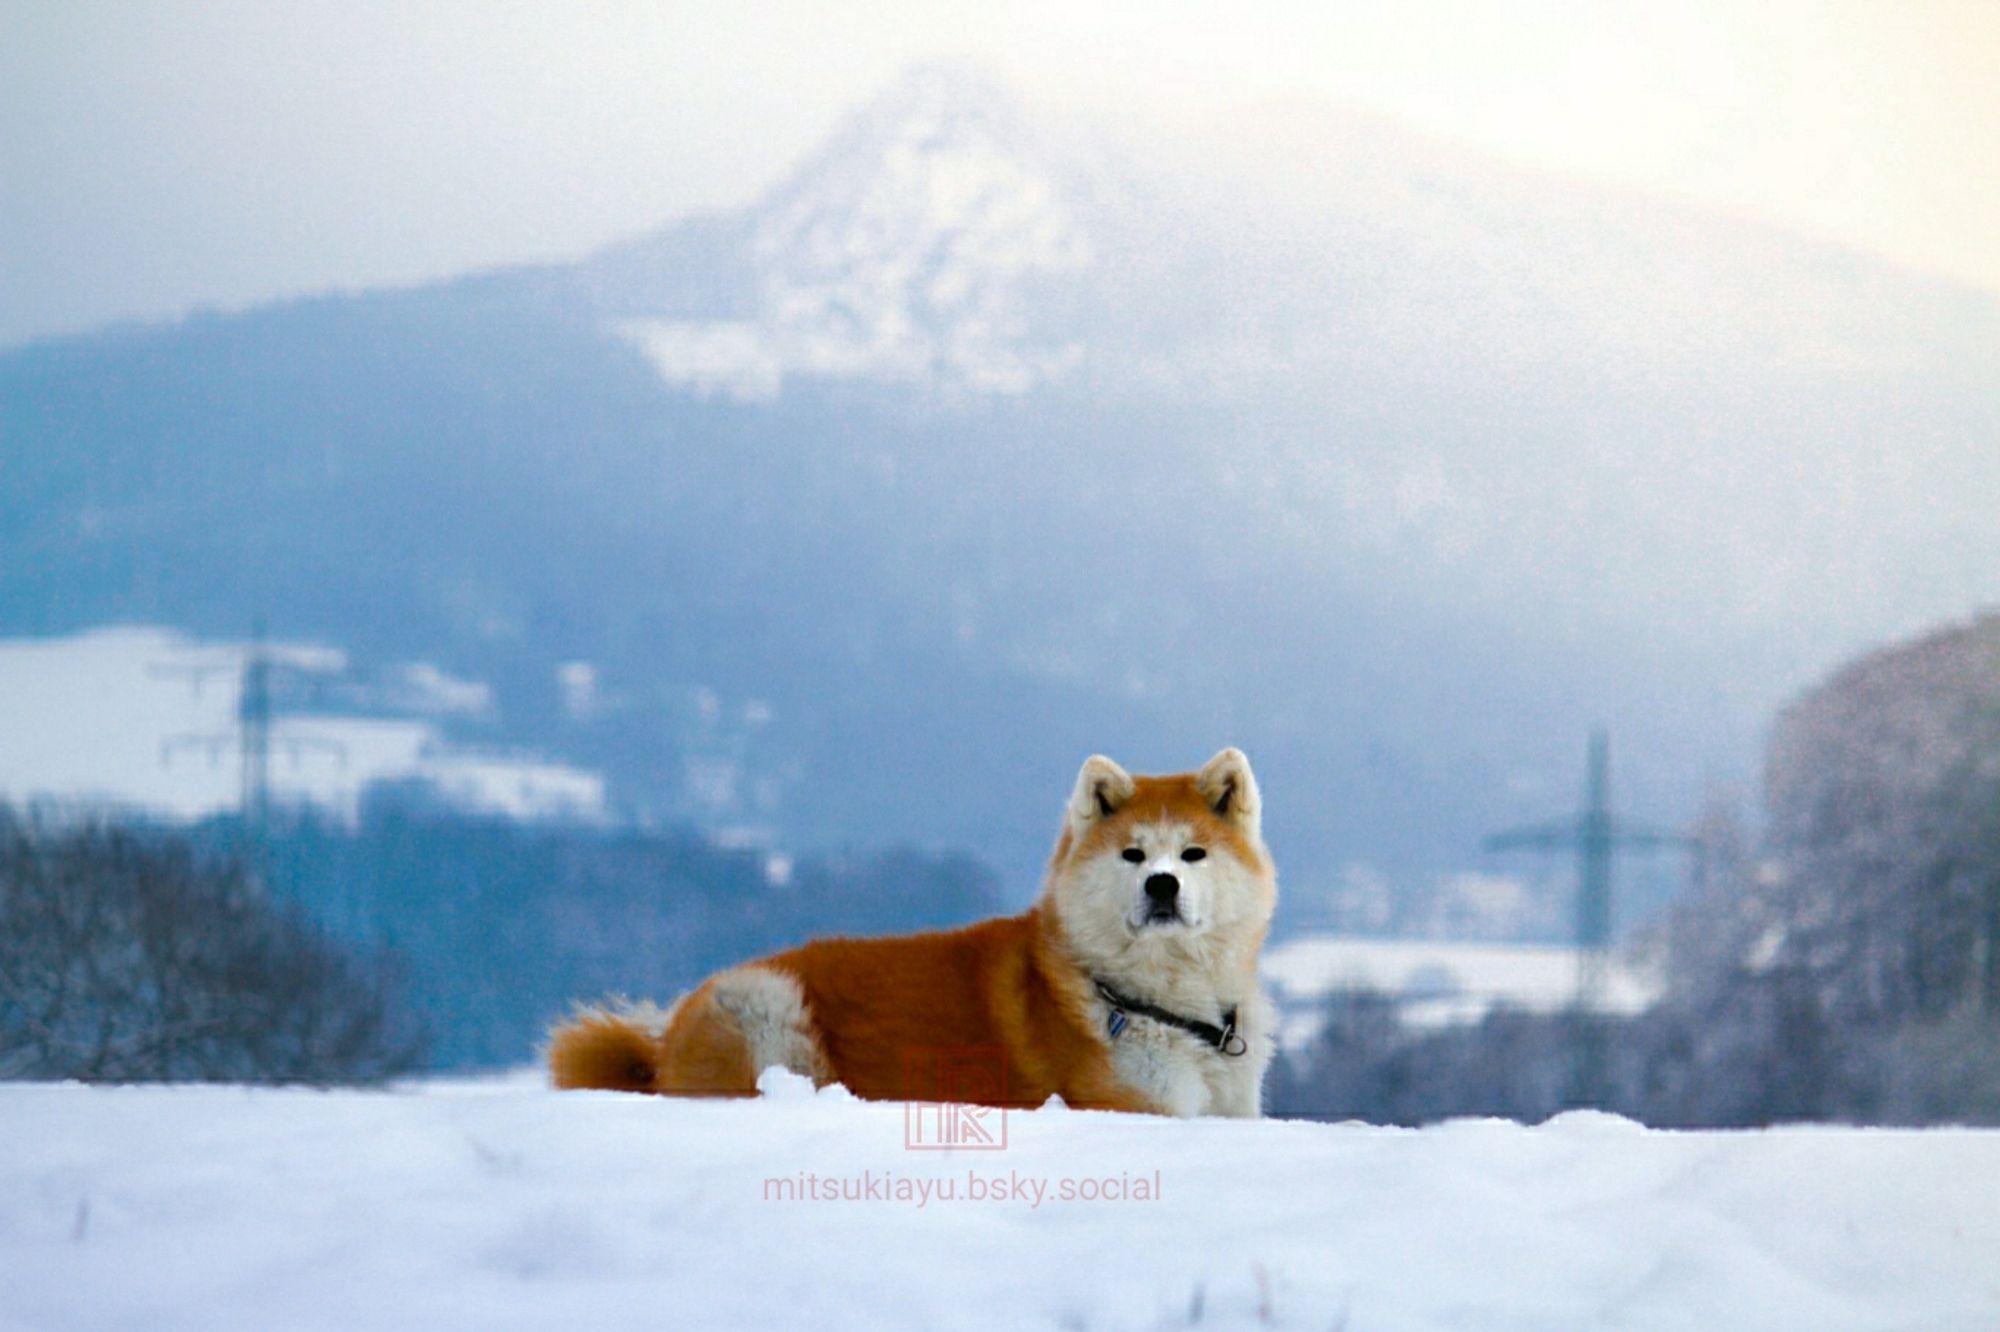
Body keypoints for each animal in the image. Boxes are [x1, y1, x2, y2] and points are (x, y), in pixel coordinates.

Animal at [540, 748, 1272, 1112]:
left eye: (1192, 854)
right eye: (1132, 855)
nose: (1162, 885)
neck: (1161, 1009)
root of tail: (661, 1047)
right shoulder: (1139, 1106)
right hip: (766, 1005)